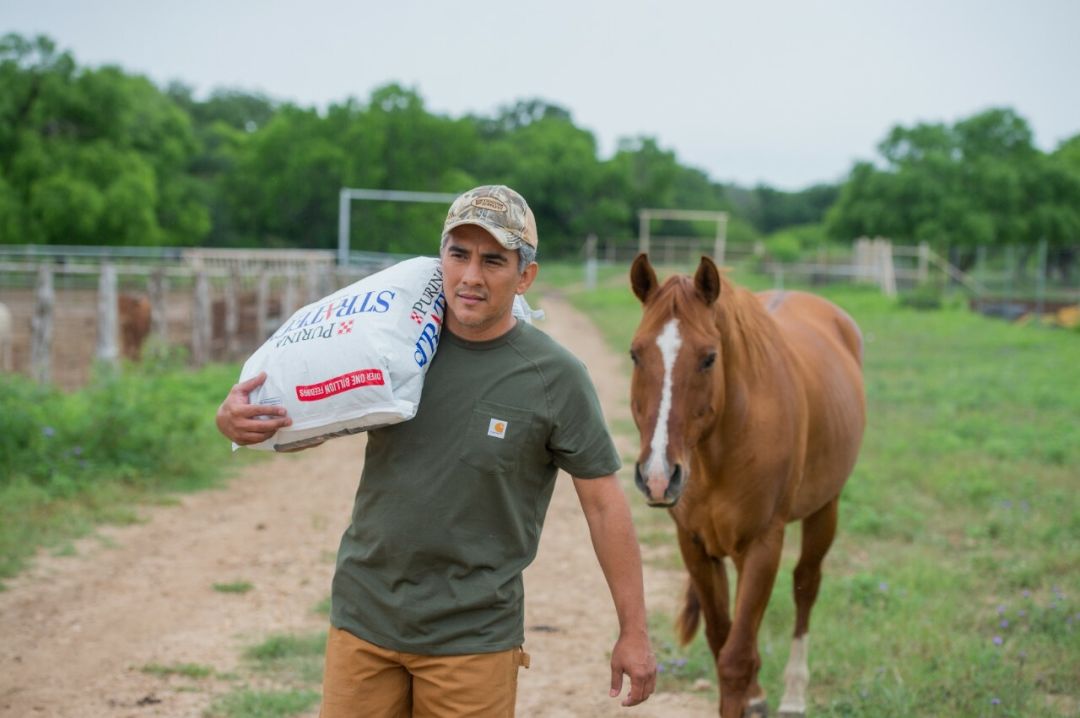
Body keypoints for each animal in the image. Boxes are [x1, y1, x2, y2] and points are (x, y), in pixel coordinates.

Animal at [630, 254, 864, 712]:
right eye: (635, 354)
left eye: (709, 358)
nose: (658, 476)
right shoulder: (696, 546)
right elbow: (723, 640)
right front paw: (750, 695)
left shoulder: (763, 545)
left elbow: (736, 659)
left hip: (825, 509)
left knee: (806, 586)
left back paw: (794, 695)